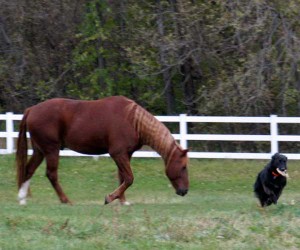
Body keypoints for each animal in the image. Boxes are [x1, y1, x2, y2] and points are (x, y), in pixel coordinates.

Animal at [15, 95, 188, 205]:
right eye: (183, 167)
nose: (184, 191)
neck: (133, 120)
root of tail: (31, 110)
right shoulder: (118, 153)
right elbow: (129, 178)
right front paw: (110, 198)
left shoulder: (125, 154)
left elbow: (123, 177)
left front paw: (122, 201)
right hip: (51, 149)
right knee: (51, 174)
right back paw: (65, 200)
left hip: (40, 150)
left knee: (28, 170)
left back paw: (22, 198)